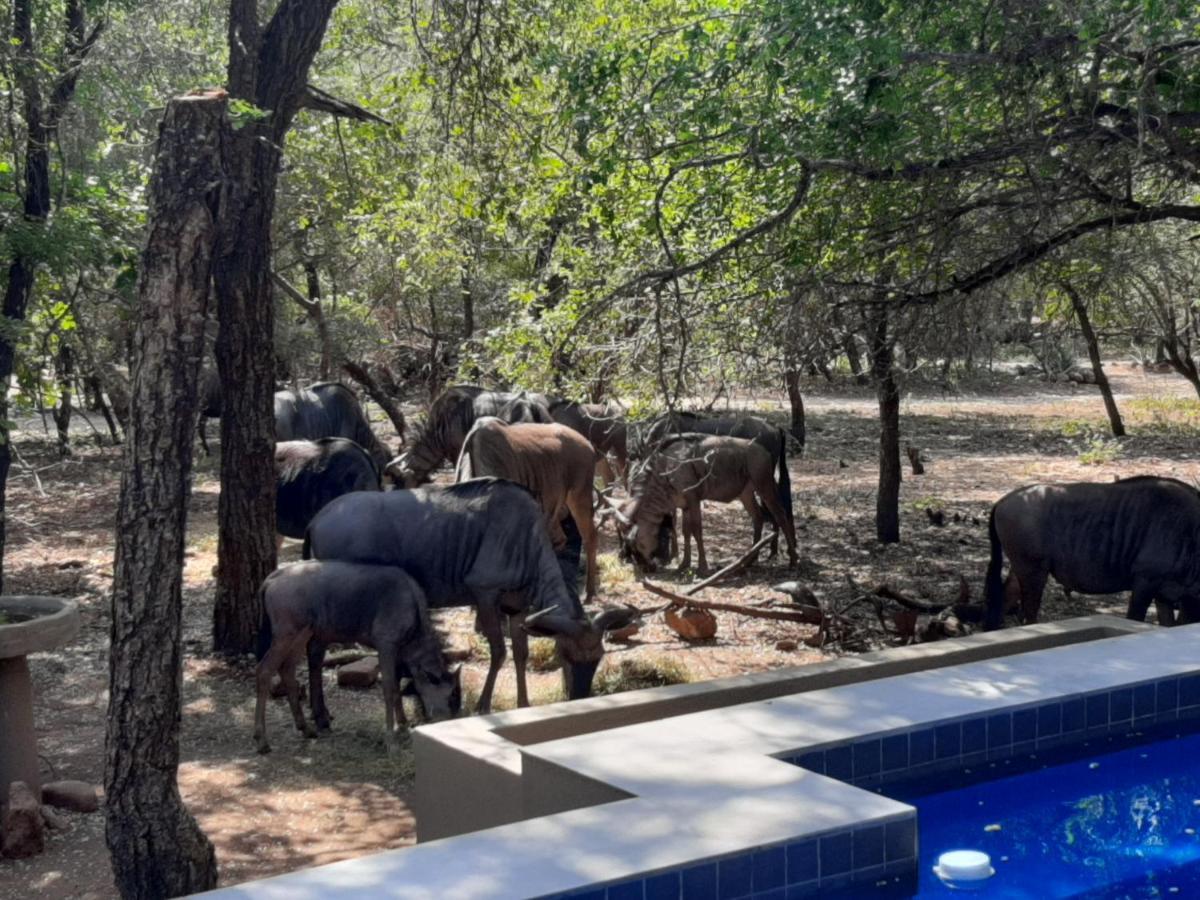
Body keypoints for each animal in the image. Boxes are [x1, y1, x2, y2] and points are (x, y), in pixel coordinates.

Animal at [255, 561, 460, 758]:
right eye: (451, 696)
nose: (451, 718)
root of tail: (272, 578)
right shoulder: (386, 643)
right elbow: (390, 689)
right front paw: (391, 740)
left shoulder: (396, 650)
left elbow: (397, 685)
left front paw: (403, 724)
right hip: (287, 632)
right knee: (264, 670)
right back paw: (262, 740)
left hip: (304, 632)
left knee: (287, 669)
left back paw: (305, 728)